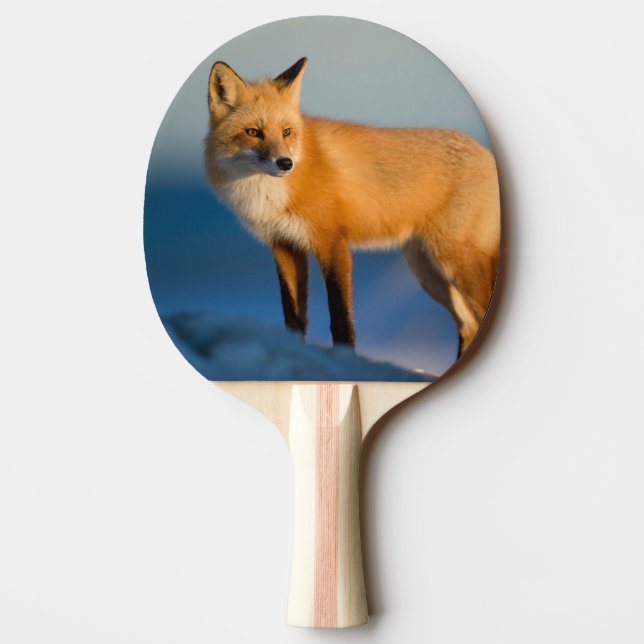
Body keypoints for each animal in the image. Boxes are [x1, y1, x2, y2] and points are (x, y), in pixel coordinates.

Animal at [204, 57, 500, 357]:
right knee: (468, 324)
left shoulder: (333, 242)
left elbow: (340, 318)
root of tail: (487, 153)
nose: (285, 163)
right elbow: (293, 317)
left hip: (454, 260)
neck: (269, 194)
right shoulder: (285, 246)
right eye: (253, 132)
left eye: (286, 132)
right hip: (427, 270)